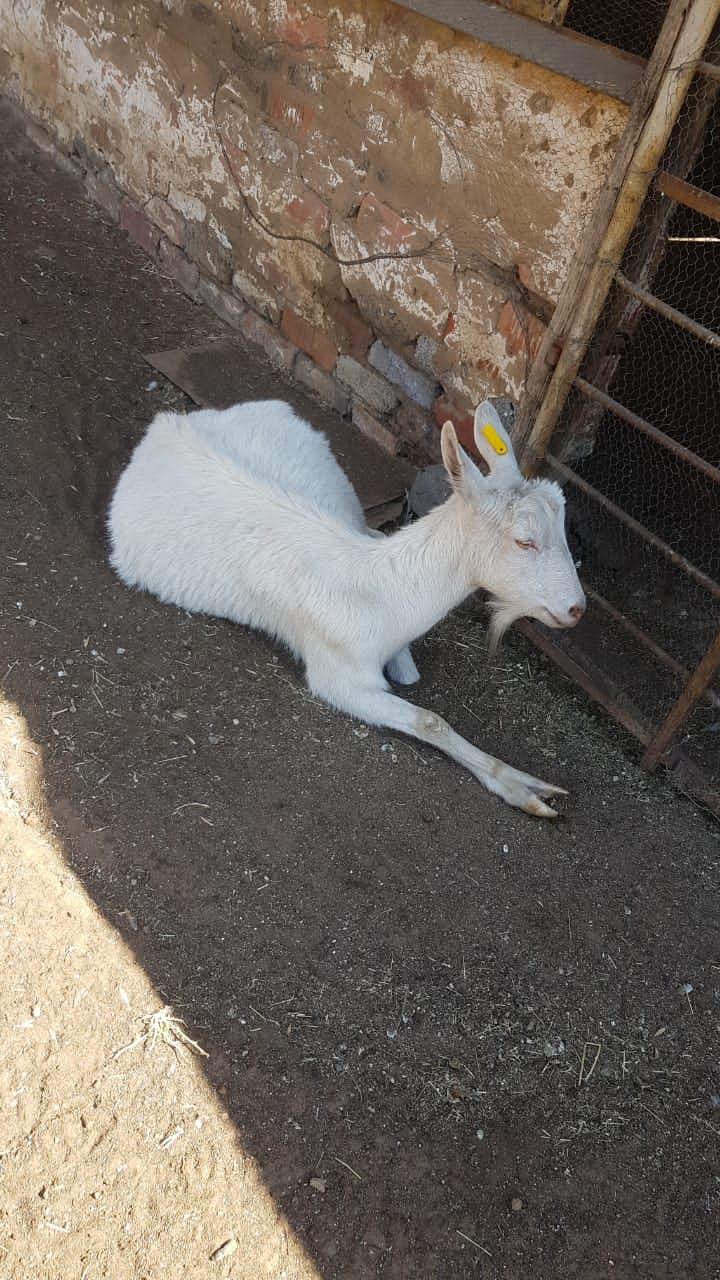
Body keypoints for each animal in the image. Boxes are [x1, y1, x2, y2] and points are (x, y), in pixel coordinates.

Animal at [108, 398, 585, 818]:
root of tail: (165, 424)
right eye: (524, 540)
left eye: (562, 523)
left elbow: (412, 681)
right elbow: (431, 720)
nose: (577, 609)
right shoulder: (338, 677)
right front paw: (525, 788)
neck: (381, 595)